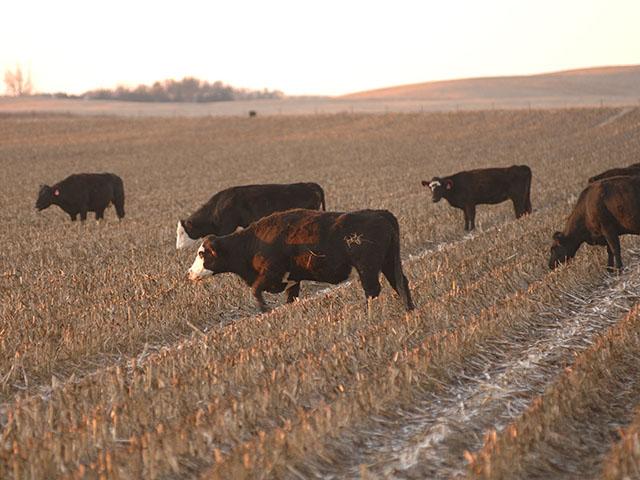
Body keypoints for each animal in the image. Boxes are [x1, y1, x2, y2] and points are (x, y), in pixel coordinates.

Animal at [187, 208, 414, 313]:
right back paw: (409, 309)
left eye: (202, 253)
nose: (189, 273)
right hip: (388, 262)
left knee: (373, 289)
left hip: (367, 266)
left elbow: (256, 291)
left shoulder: (271, 273)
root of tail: (379, 213)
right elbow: (290, 299)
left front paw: (265, 310)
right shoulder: (293, 280)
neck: (252, 242)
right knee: (400, 283)